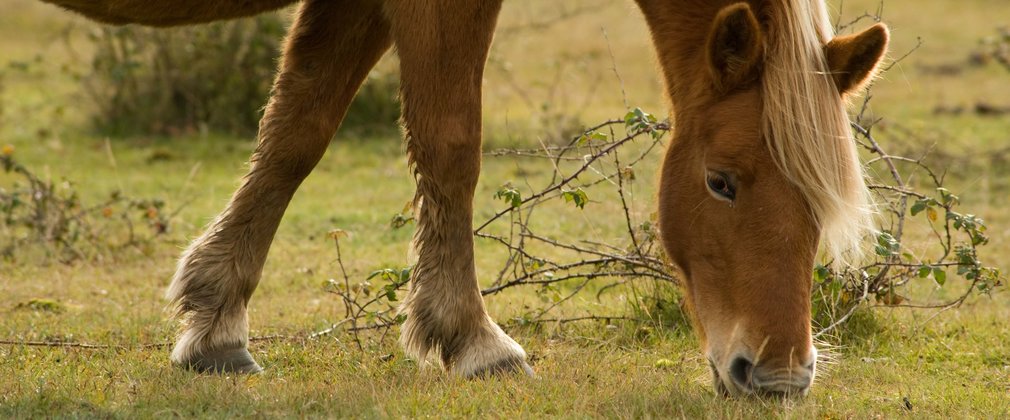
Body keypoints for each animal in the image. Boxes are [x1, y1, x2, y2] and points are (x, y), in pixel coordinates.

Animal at [41, 0, 884, 397]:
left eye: (818, 208)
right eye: (720, 182)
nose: (777, 378)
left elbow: (297, 128)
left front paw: (215, 324)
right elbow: (449, 144)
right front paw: (472, 338)